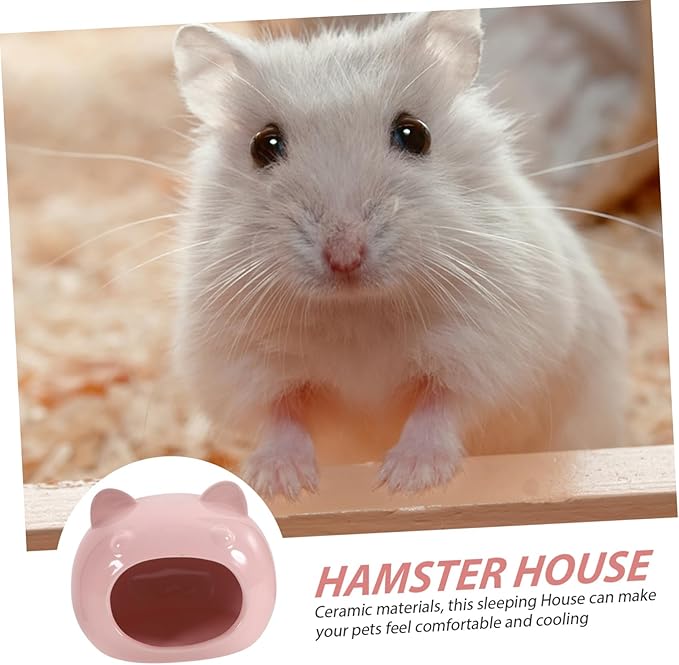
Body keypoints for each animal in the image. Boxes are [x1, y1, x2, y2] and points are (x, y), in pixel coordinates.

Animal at [171, 10, 627, 499]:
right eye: (264, 145)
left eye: (414, 134)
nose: (345, 255)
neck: (357, 311)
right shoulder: (242, 365)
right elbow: (279, 415)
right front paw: (282, 484)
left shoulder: (489, 348)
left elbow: (441, 406)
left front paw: (407, 481)